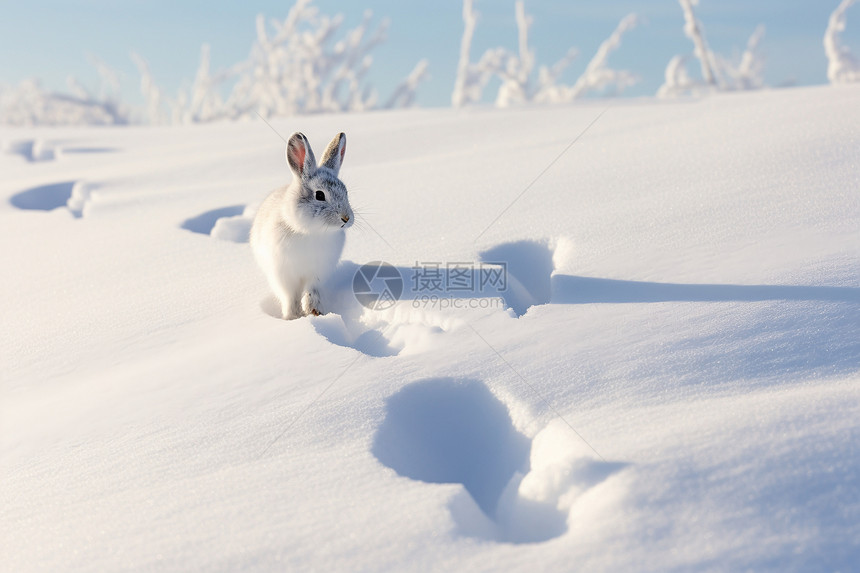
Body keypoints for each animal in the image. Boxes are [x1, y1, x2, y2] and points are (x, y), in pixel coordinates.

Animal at [252, 132, 352, 320]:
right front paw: (292, 317)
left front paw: (315, 312)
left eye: (346, 192)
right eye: (319, 195)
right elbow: (290, 297)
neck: (312, 232)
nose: (346, 218)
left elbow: (311, 292)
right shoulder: (284, 275)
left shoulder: (316, 274)